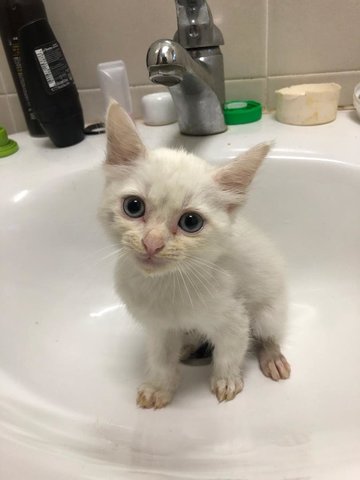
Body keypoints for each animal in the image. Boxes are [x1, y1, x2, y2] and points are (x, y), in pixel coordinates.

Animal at [100, 104, 292, 408]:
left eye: (191, 222)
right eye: (133, 206)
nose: (152, 243)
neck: (167, 282)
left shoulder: (233, 316)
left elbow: (230, 351)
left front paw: (226, 380)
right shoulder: (159, 326)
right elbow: (160, 357)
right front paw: (158, 386)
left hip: (269, 310)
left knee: (265, 331)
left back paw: (271, 355)